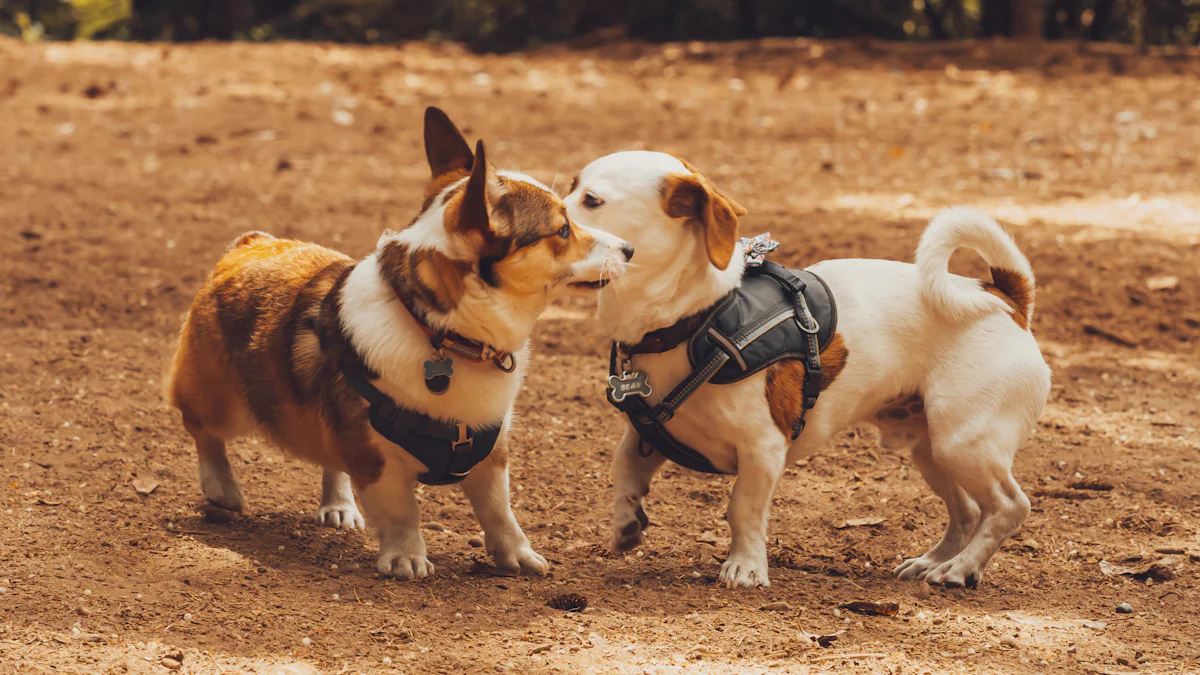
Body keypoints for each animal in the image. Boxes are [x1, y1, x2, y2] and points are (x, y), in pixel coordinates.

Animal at [171, 109, 638, 578]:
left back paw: (338, 504)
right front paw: (406, 557)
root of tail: (250, 243)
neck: (442, 334)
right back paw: (221, 487)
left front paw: (518, 555)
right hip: (223, 403)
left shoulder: (491, 454)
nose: (630, 249)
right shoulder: (377, 461)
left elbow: (499, 512)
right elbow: (403, 512)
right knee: (204, 432)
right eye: (562, 230)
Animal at [566, 152, 1046, 588]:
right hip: (932, 451)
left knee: (1009, 506)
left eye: (591, 200)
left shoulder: (763, 448)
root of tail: (1005, 298)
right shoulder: (645, 435)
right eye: (571, 186)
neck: (696, 319)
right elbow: (624, 471)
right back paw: (934, 562)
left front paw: (745, 566)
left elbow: (743, 508)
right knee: (968, 511)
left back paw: (962, 569)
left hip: (963, 443)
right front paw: (627, 523)